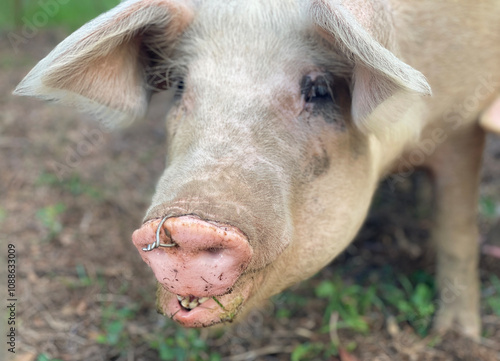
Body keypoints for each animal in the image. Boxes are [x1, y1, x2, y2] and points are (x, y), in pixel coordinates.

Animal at [14, 0, 500, 338]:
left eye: (319, 90)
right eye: (180, 87)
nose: (188, 227)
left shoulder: (464, 127)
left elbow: (456, 229)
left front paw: (457, 336)